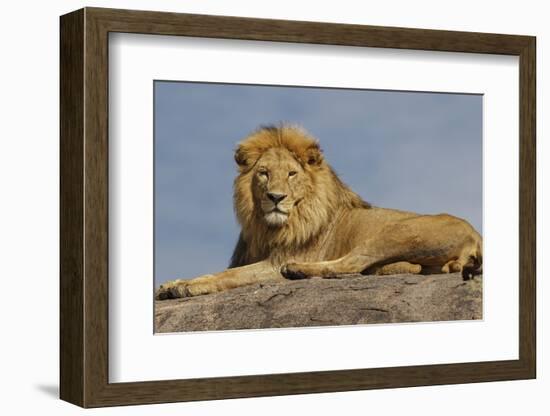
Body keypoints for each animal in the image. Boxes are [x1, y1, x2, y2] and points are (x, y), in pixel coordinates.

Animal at [156, 123, 484, 300]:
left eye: (291, 174)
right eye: (263, 173)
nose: (276, 197)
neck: (268, 227)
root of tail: (477, 237)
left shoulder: (275, 262)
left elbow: (229, 276)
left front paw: (185, 287)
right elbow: (219, 272)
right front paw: (172, 284)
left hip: (397, 231)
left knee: (350, 264)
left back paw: (298, 271)